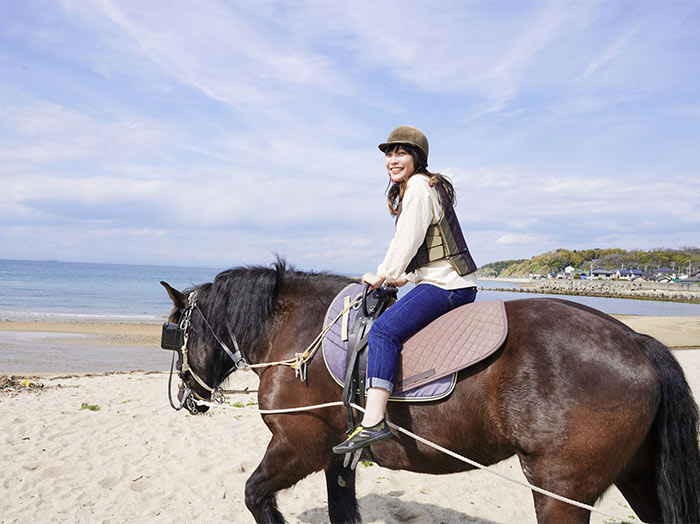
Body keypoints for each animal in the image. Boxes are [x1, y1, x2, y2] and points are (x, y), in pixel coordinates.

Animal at [161, 260, 700, 520]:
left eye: (174, 332)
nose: (184, 396)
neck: (298, 329)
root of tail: (634, 339)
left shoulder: (300, 445)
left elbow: (255, 495)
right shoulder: (337, 459)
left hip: (560, 493)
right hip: (639, 479)